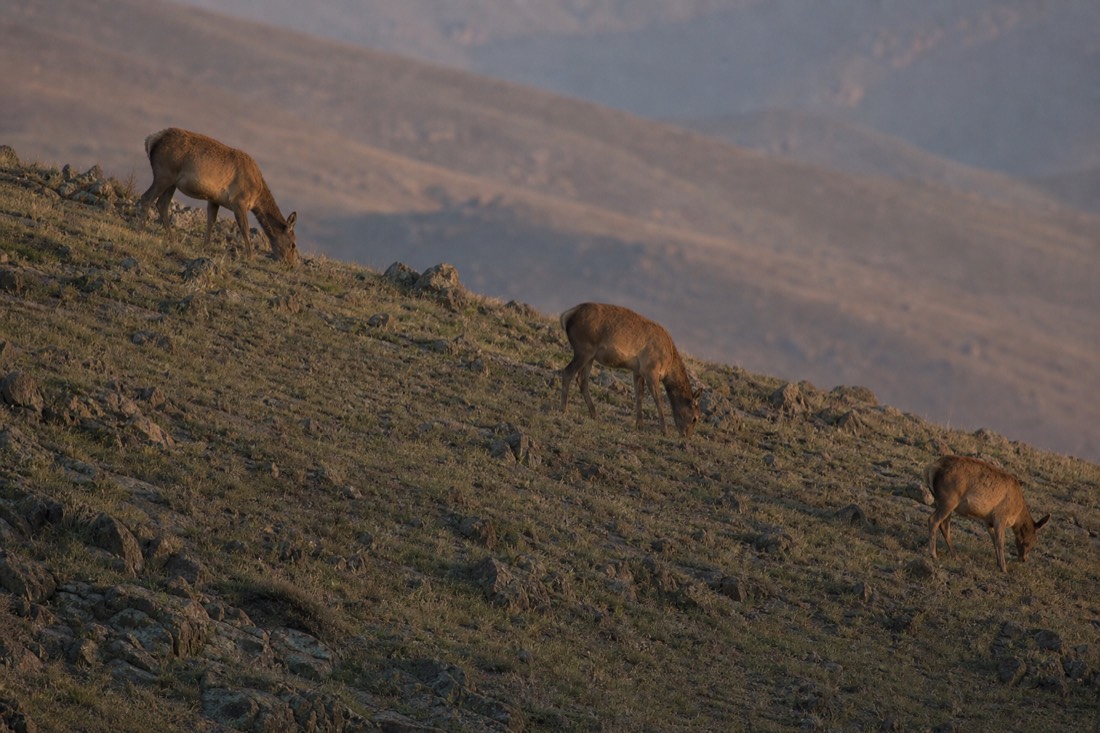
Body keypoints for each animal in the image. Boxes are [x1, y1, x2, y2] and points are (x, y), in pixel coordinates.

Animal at [136, 128, 298, 265]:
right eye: (293, 244)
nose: (290, 264)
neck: (256, 197)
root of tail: (150, 140)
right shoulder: (239, 201)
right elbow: (244, 228)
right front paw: (251, 256)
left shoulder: (214, 199)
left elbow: (211, 221)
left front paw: (205, 247)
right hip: (164, 174)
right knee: (146, 198)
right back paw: (141, 231)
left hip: (172, 182)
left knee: (162, 204)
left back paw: (172, 240)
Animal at [560, 302, 701, 441]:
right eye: (695, 418)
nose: (687, 437)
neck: (668, 366)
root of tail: (567, 315)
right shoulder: (650, 369)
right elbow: (659, 399)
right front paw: (664, 430)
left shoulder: (638, 370)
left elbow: (639, 396)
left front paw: (640, 425)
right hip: (584, 350)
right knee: (567, 373)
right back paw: (564, 409)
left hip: (590, 356)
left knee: (582, 380)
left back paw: (595, 415)